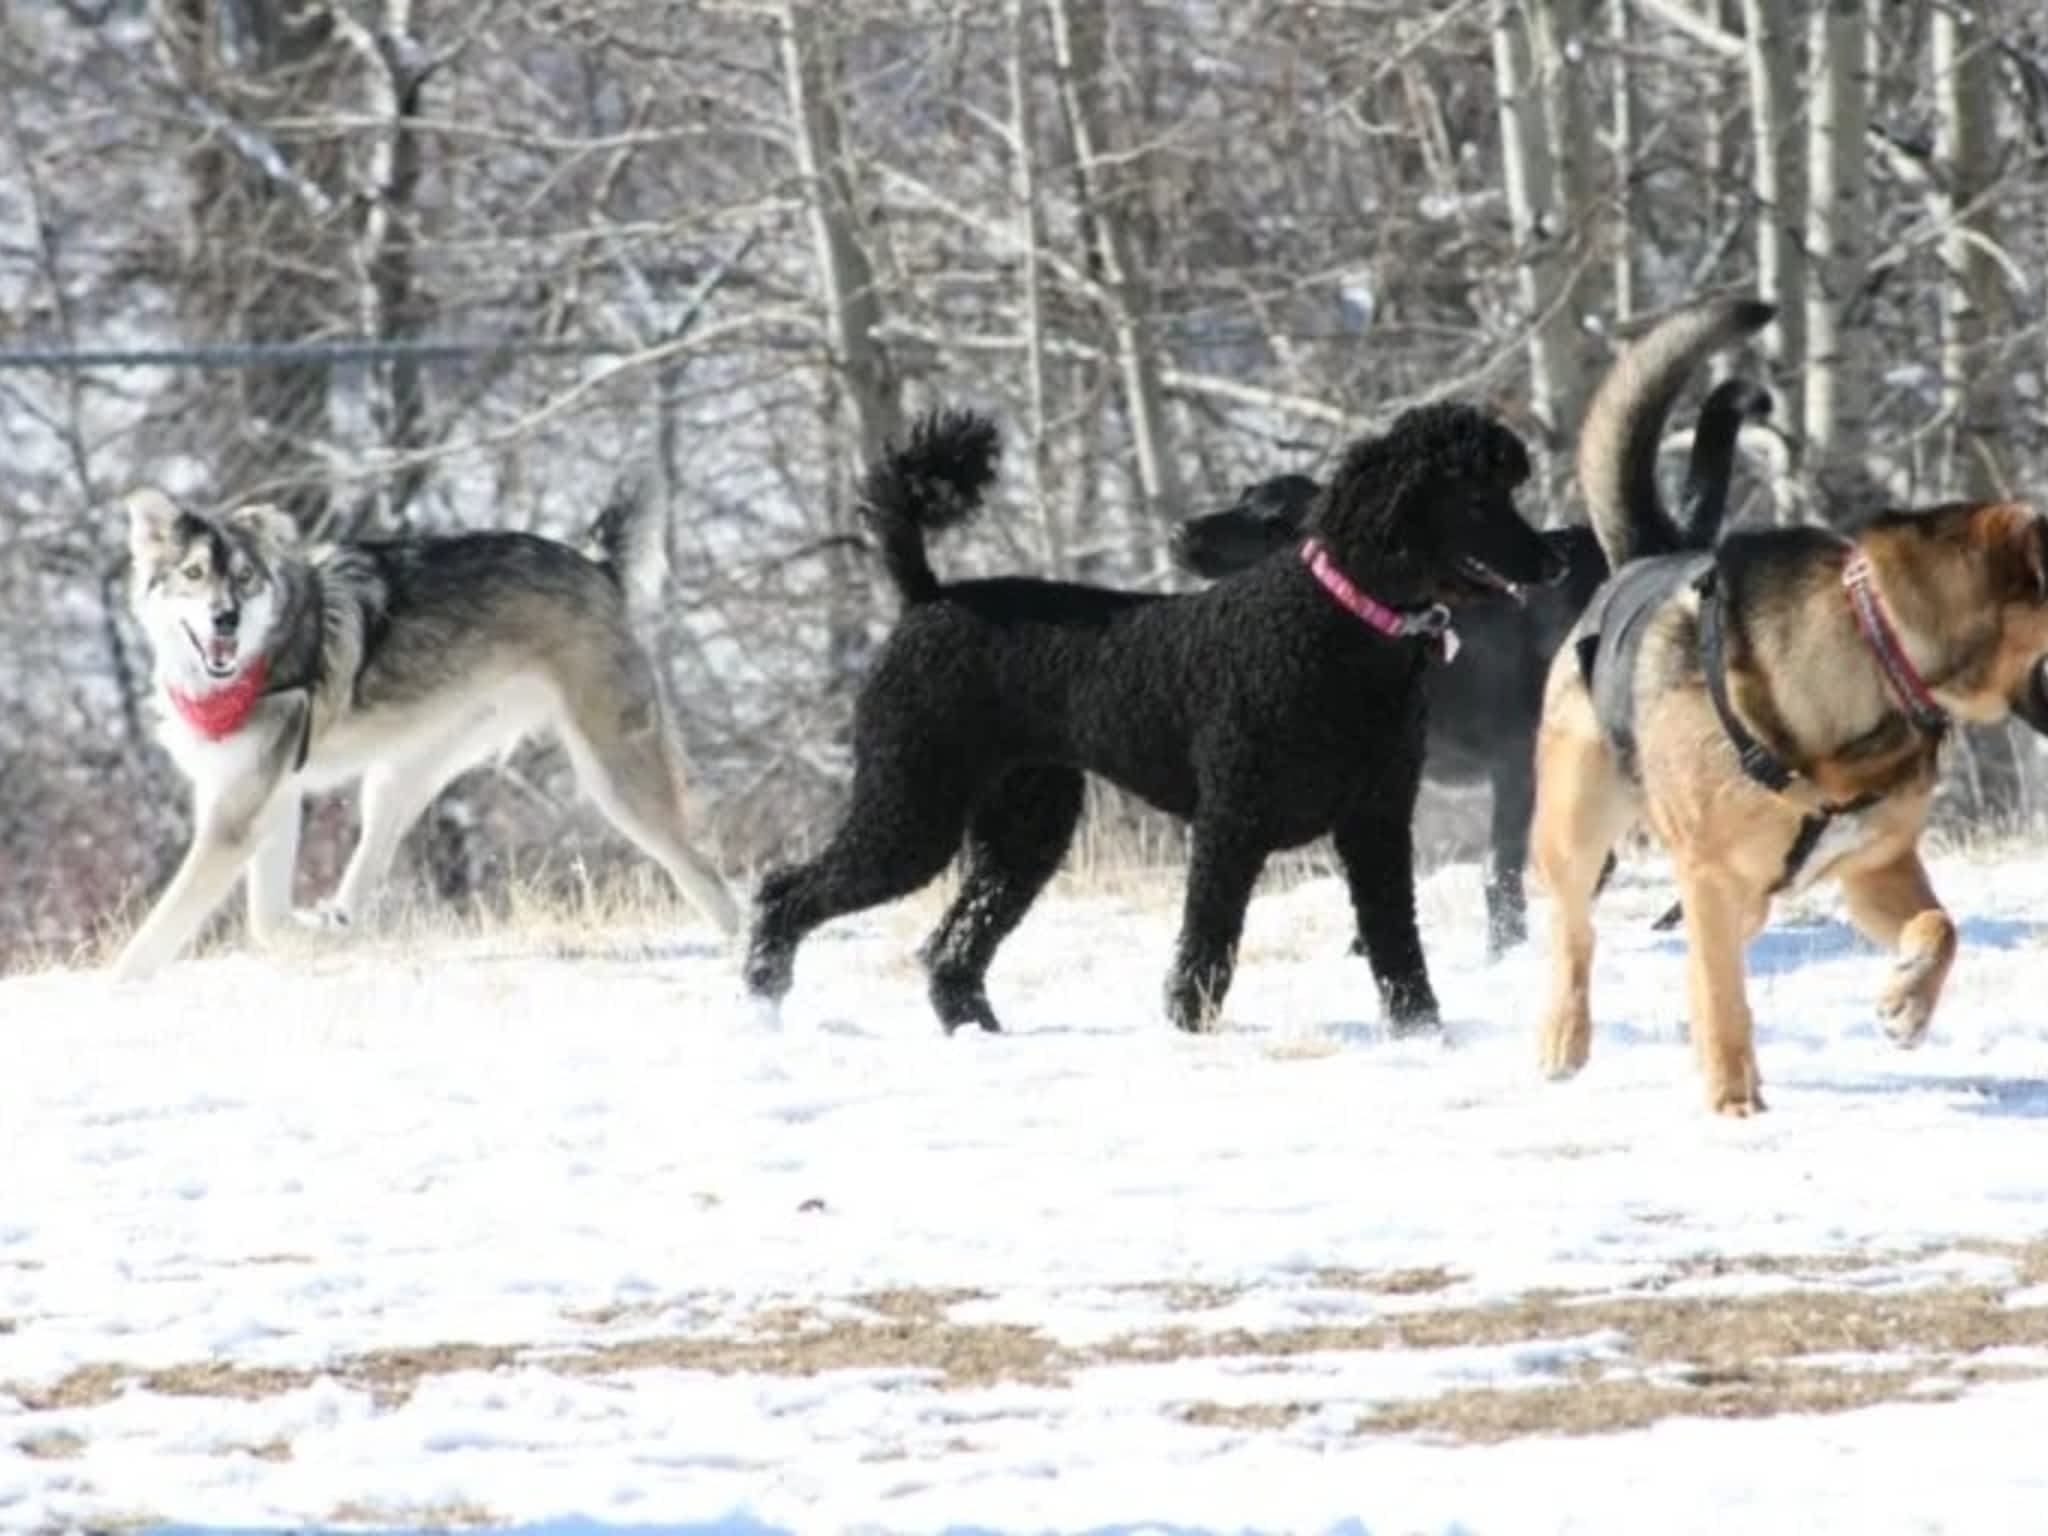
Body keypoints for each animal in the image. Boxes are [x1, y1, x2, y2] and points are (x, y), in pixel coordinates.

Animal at [112, 493, 737, 978]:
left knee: (703, 870)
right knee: (369, 866)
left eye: (243, 578)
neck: (243, 675)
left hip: (616, 782)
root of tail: (596, 566)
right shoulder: (267, 797)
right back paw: (339, 923)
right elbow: (266, 920)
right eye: (194, 574)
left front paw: (118, 986)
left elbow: (163, 926)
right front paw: (309, 936)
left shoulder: (238, 816)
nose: (226, 619)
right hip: (400, 776)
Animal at [745, 403, 1556, 1040]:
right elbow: (1208, 942)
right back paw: (763, 1009)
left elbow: (1394, 940)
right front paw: (1188, 1031)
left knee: (953, 943)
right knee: (786, 894)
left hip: (1023, 823)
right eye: (1475, 498)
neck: (1337, 624)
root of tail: (929, 596)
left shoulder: (1377, 821)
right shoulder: (1230, 823)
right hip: (912, 802)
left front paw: (1420, 1030)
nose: (1551, 562)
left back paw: (977, 1031)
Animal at [1171, 350, 1777, 958]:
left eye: (1271, 520)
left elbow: (1497, 870)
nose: (1180, 532)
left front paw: (1502, 952)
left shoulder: (1514, 763)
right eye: (1243, 494)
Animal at [1540, 296, 2048, 1122]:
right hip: (1579, 829)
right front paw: (1734, 1107)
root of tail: (1647, 553)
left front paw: (1906, 1005)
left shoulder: (1873, 864)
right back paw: (1564, 1038)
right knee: (1575, 930)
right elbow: (1723, 1000)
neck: (1882, 652)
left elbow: (1941, 928)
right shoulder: (1710, 874)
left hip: (1740, 895)